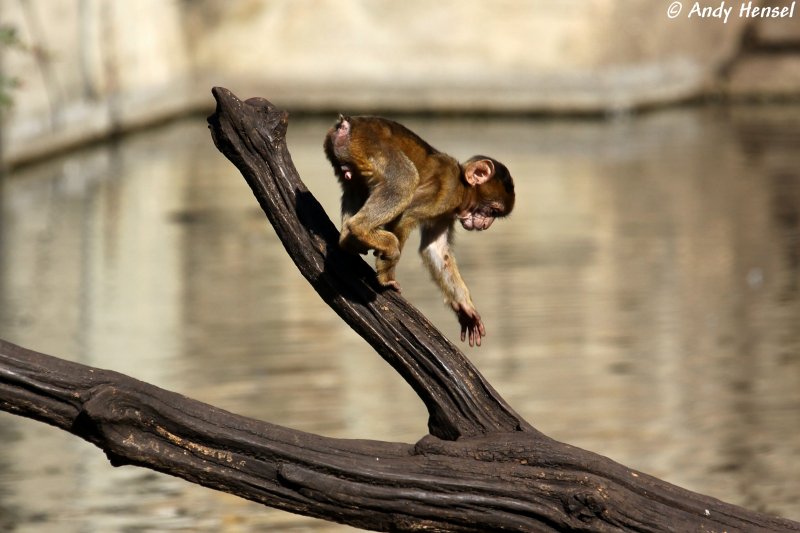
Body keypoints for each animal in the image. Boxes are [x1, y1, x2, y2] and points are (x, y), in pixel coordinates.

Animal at [324, 115, 516, 348]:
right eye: (492, 211)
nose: (486, 223)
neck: (462, 186)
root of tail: (350, 123)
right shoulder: (446, 192)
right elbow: (406, 216)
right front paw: (386, 275)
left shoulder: (445, 211)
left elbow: (435, 248)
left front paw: (464, 307)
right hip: (370, 144)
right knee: (404, 182)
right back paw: (364, 232)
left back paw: (348, 239)